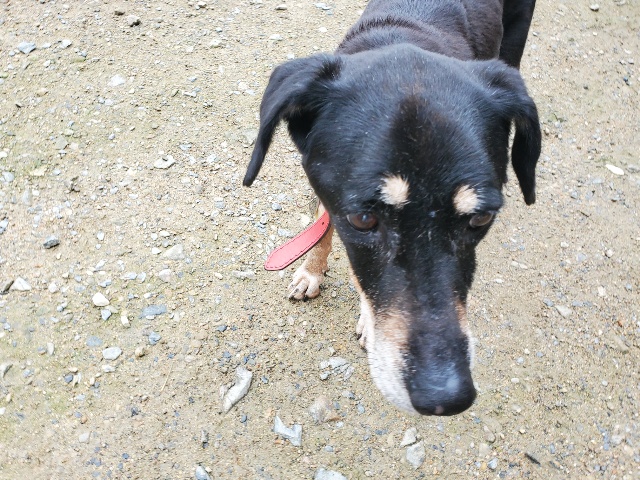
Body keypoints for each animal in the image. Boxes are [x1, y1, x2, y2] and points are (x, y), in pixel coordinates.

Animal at [243, 0, 540, 416]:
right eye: (363, 218)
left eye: (481, 217)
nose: (446, 397)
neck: (404, 33)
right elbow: (324, 226)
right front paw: (311, 271)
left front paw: (366, 320)